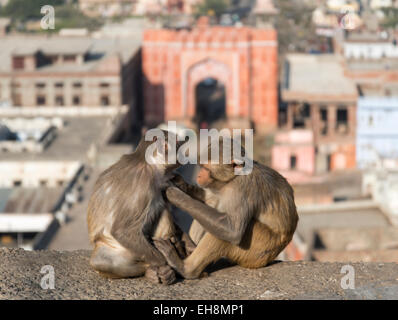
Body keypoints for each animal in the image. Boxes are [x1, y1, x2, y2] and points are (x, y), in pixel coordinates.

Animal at [86, 130, 194, 284]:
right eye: (178, 145)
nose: (184, 155)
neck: (149, 164)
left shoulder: (164, 182)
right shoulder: (142, 184)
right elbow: (122, 231)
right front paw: (165, 263)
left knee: (162, 209)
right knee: (101, 260)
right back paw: (152, 270)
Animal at [155, 138, 298, 280]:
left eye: (205, 168)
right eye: (201, 167)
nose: (199, 175)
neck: (234, 178)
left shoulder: (242, 187)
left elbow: (231, 230)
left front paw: (176, 195)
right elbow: (210, 198)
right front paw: (182, 185)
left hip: (257, 248)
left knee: (225, 233)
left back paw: (186, 268)